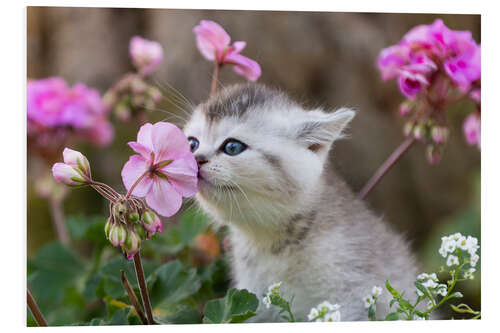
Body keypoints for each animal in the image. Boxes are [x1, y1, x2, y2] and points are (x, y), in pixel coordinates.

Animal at [183, 83, 418, 322]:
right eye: (192, 143)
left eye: (232, 147)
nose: (196, 159)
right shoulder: (255, 297)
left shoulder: (354, 291)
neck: (273, 245)